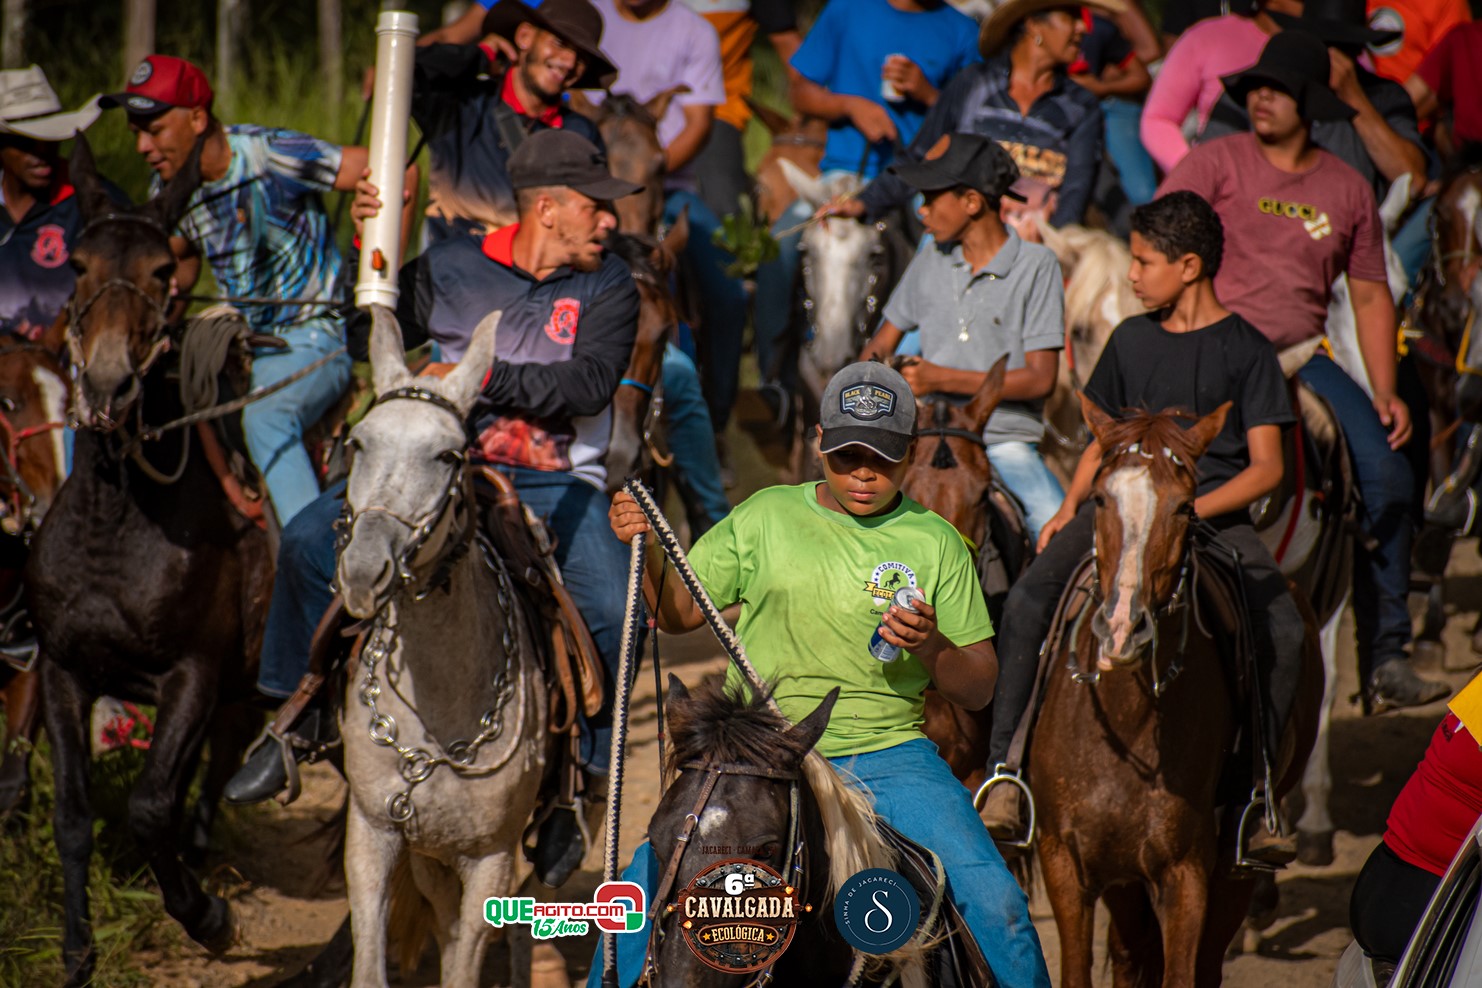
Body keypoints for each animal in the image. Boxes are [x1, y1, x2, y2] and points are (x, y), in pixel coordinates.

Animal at [25, 134, 272, 985]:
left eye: (165, 269)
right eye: (78, 264)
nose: (106, 383)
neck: (115, 520)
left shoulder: (193, 672)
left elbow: (150, 805)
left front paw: (208, 916)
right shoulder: (63, 669)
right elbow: (72, 815)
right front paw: (75, 951)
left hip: (236, 685)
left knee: (216, 761)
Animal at [1031, 398, 1321, 988]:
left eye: (1186, 508)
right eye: (1099, 499)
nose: (1123, 628)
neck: (1125, 729)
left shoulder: (1186, 874)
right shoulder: (1066, 863)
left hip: (1230, 870)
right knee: (1128, 955)